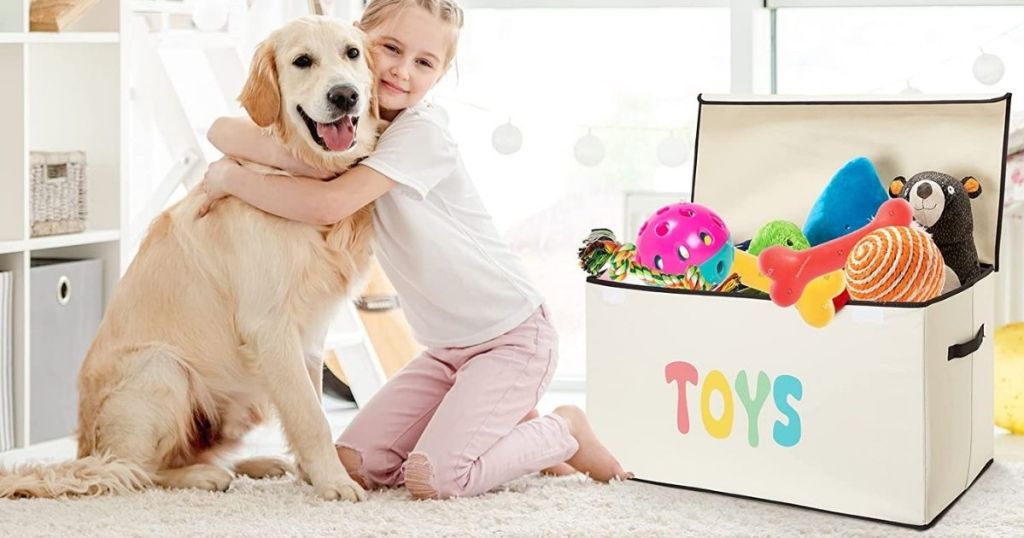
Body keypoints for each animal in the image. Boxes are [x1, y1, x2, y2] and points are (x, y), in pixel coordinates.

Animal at [0, 17, 382, 504]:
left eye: (352, 53)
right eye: (302, 61)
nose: (345, 95)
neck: (298, 173)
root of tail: (84, 448)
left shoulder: (312, 335)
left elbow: (310, 404)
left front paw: (311, 474)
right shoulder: (270, 327)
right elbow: (311, 416)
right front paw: (334, 482)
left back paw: (256, 464)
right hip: (163, 368)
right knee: (131, 471)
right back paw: (204, 477)